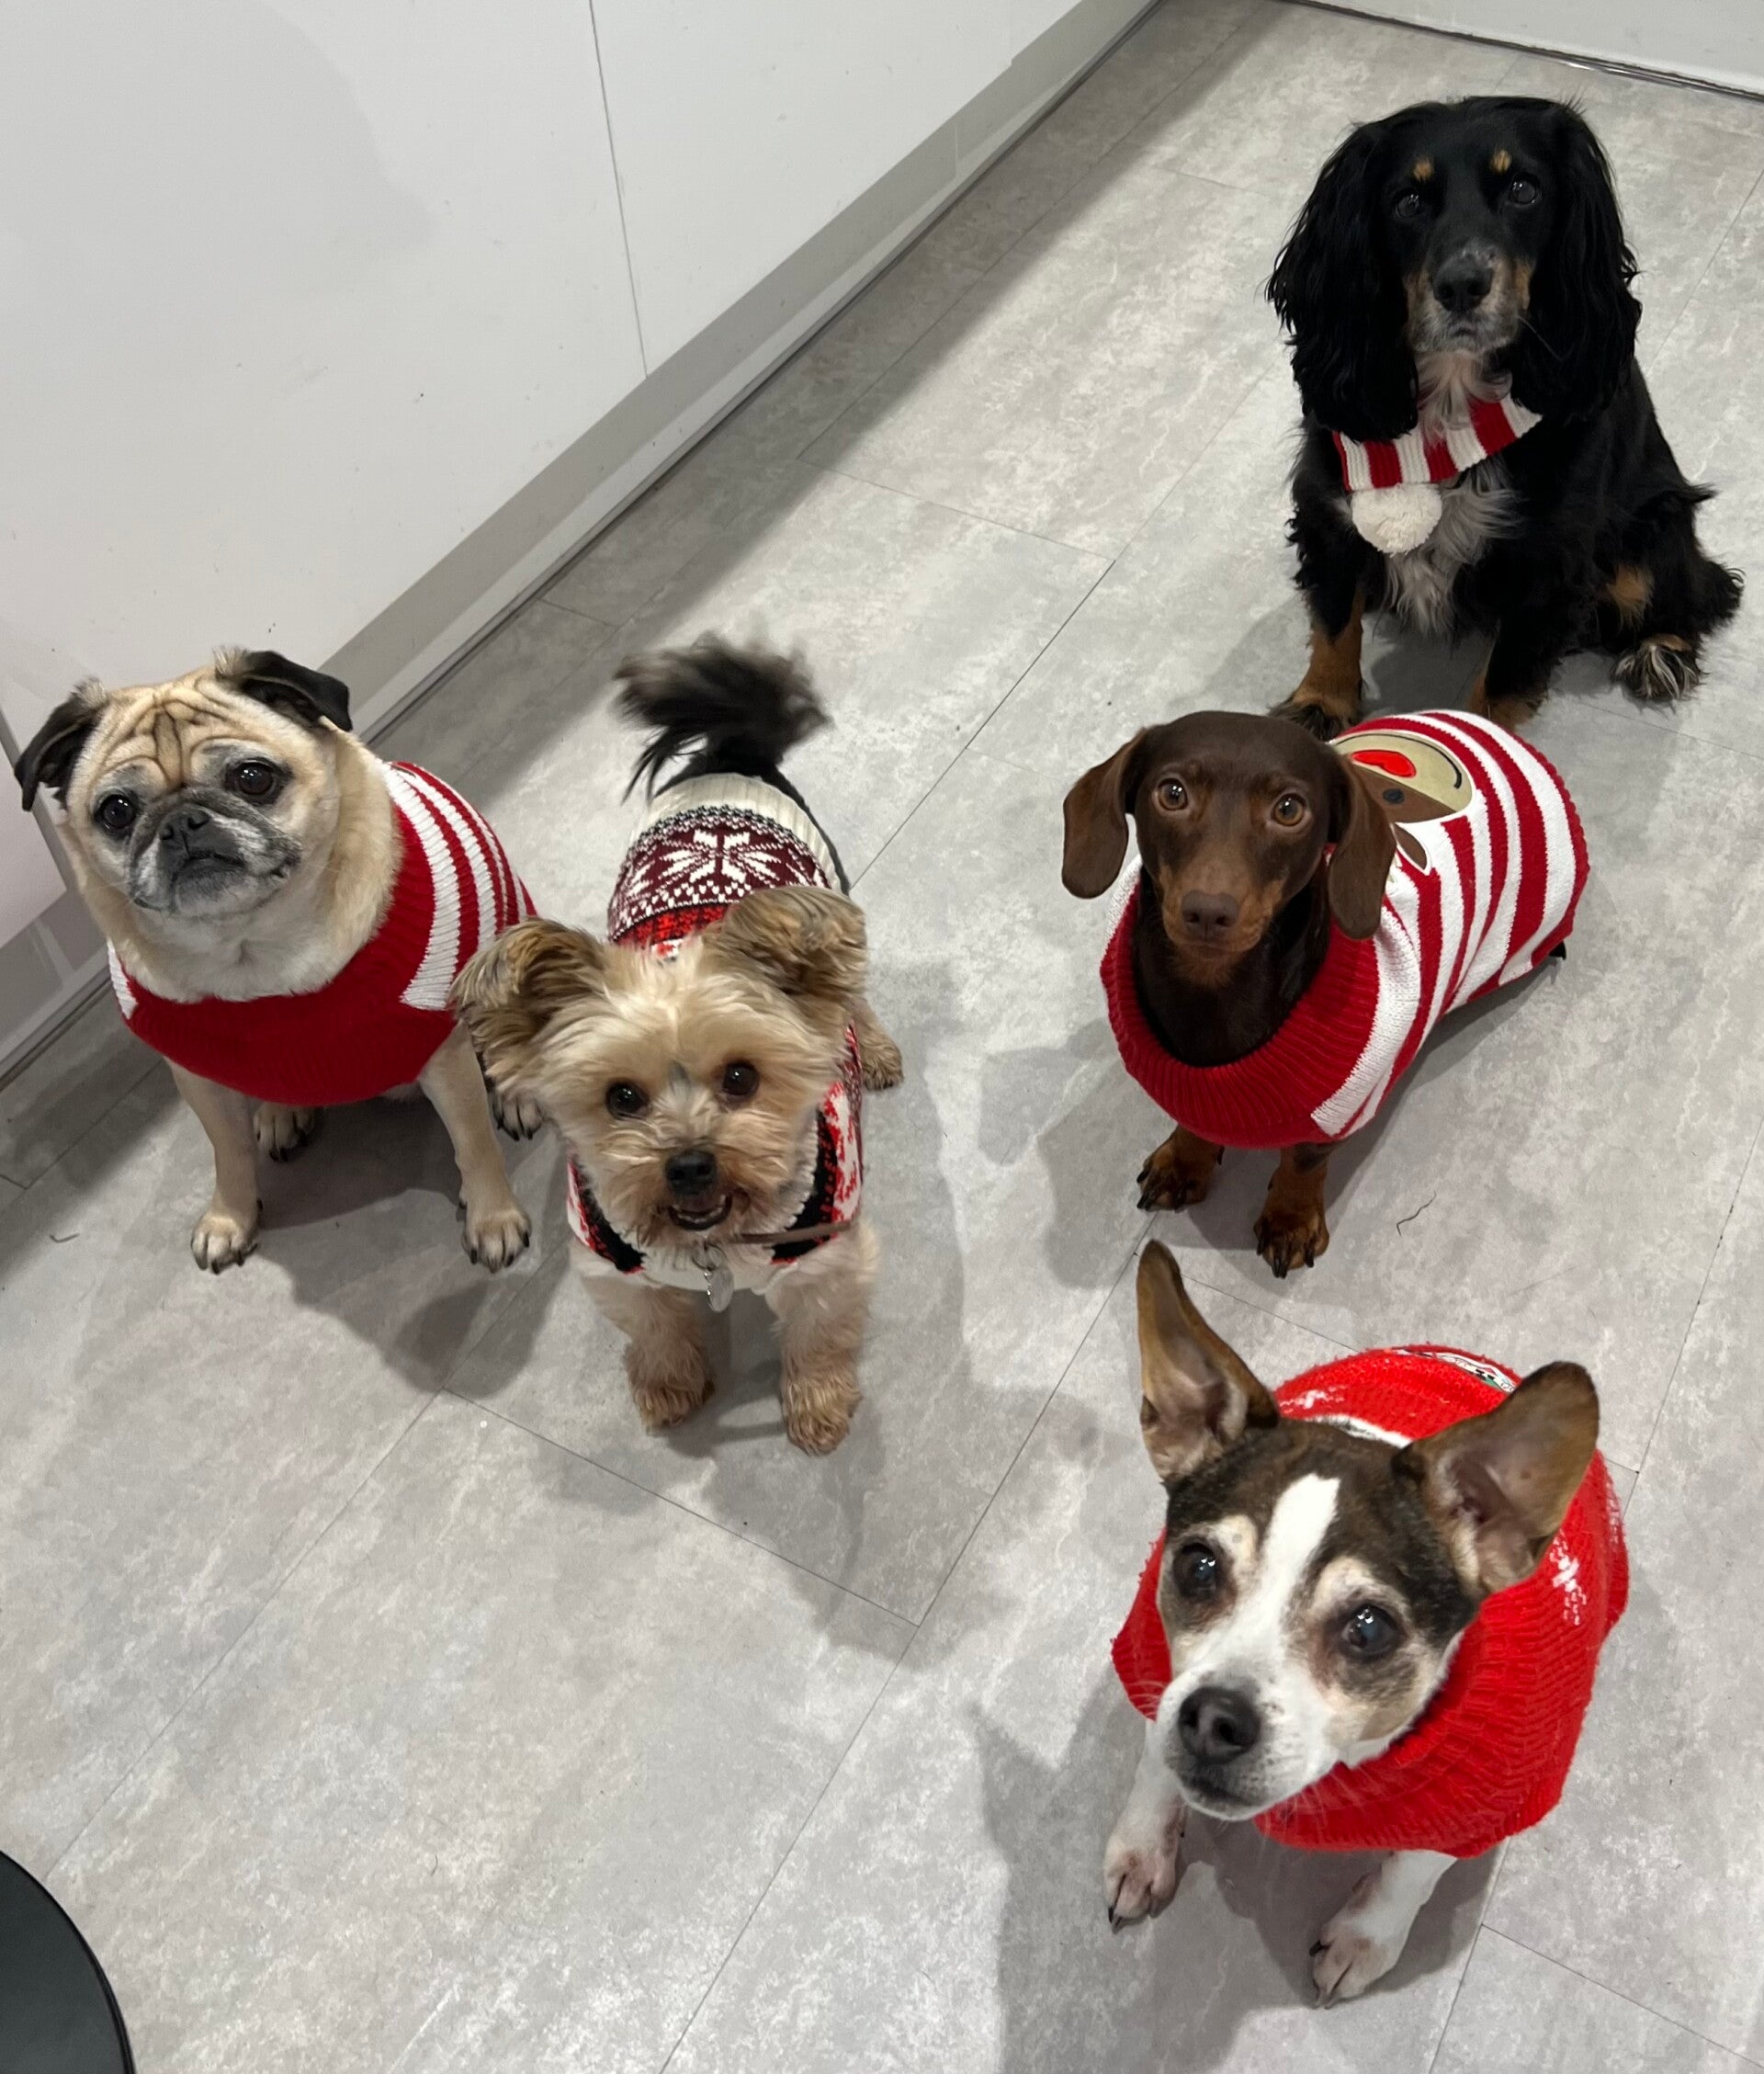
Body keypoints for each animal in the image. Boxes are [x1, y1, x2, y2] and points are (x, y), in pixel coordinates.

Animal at [13, 650, 536, 1272]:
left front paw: (492, 1216)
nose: (182, 821)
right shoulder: (200, 1080)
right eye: (117, 811)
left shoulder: (445, 1056)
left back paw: (516, 1095)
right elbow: (229, 1155)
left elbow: (473, 1143)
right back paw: (281, 1113)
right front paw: (229, 1217)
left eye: (252, 778)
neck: (248, 950)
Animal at [451, 637, 902, 1455]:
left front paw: (817, 1407)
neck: (713, 1244)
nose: (689, 1163)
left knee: (851, 992)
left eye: (742, 1077)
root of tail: (730, 753)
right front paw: (669, 1388)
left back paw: (875, 1049)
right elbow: (656, 1332)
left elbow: (818, 1338)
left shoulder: (828, 1259)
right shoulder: (618, 1273)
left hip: (831, 905)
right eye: (621, 1097)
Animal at [1062, 707, 1584, 1273]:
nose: (1207, 912)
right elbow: (1189, 1120)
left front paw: (1291, 1220)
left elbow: (1304, 1161)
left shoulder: (1340, 1106)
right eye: (1172, 793)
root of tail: (1505, 738)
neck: (1210, 992)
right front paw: (1184, 1161)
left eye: (1289, 808)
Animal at [1104, 1243, 1625, 2003]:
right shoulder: (1155, 1667)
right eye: (1198, 1565)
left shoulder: (1476, 1803)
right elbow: (1152, 1761)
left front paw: (1363, 1938)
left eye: (1370, 1627)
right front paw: (1143, 1848)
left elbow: (1412, 1866)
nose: (1213, 1715)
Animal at [1267, 95, 1741, 735]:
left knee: (1693, 588)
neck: (1451, 405)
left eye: (1523, 189)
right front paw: (1320, 703)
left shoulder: (1548, 565)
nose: (1462, 285)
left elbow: (1503, 679)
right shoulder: (1327, 508)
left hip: (1651, 523)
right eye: (1407, 201)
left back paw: (1662, 651)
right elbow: (1335, 617)